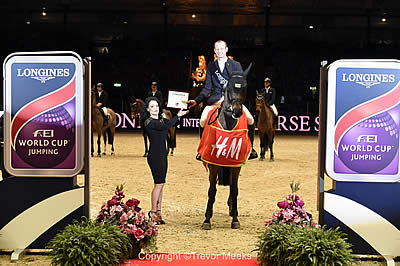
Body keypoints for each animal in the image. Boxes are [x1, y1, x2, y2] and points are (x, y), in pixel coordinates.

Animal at [202, 63, 252, 230]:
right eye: (228, 86)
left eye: (245, 87)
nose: (236, 111)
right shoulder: (213, 164)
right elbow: (212, 190)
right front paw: (207, 220)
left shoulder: (236, 164)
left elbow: (234, 189)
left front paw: (235, 219)